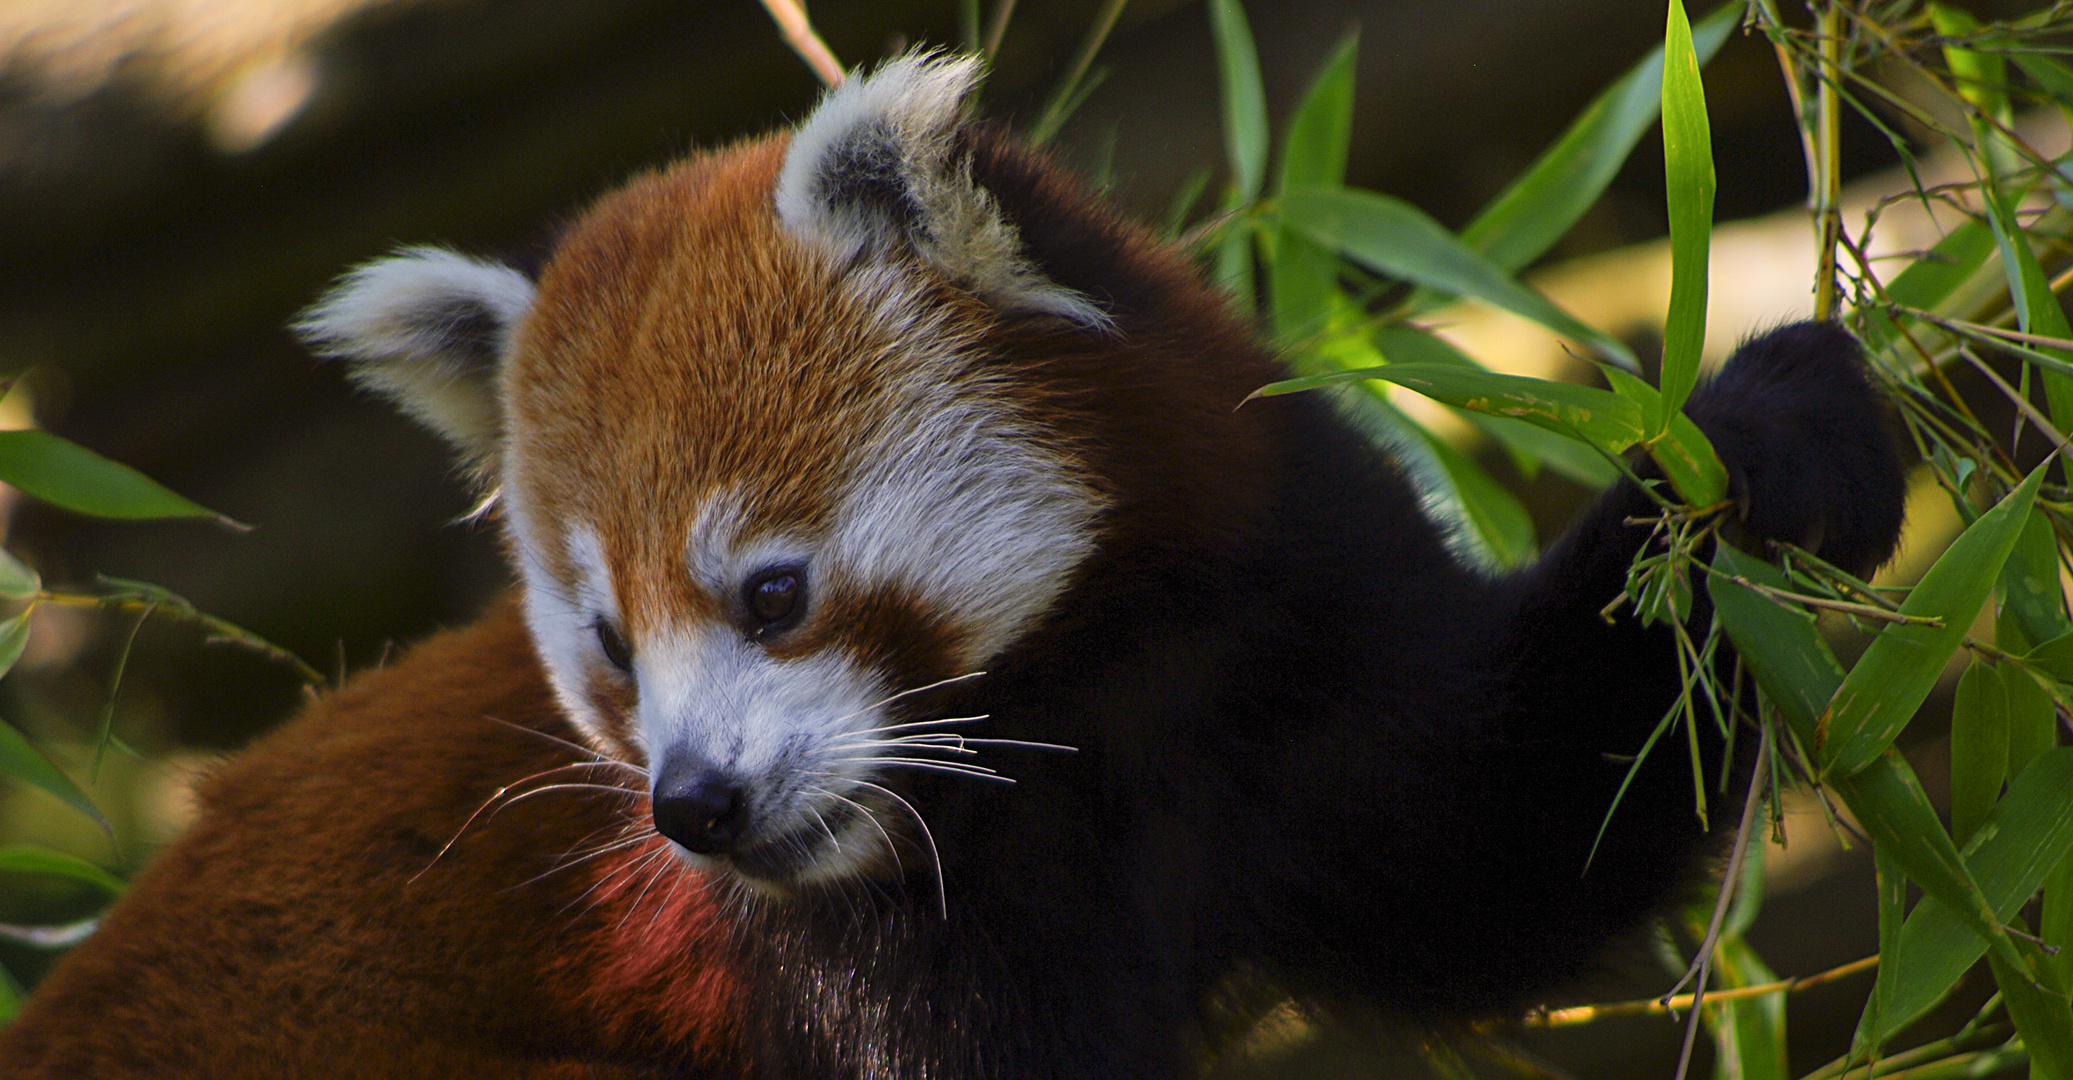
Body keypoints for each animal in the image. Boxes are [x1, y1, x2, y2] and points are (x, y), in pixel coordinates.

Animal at [4, 52, 1907, 1077]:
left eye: (770, 593)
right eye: (611, 650)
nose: (692, 805)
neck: (1075, 722)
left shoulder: (1287, 617)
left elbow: (1506, 836)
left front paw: (1764, 442)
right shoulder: (825, 943)